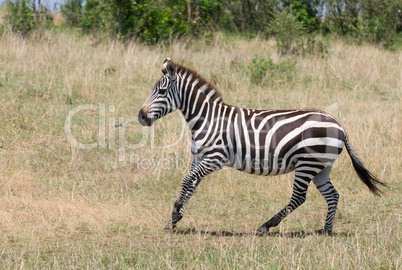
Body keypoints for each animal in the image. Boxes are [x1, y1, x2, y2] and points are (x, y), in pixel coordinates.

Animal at [138, 58, 386, 234]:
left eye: (161, 92)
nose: (140, 116)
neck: (207, 118)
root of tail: (338, 124)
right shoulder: (199, 158)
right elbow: (190, 186)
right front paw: (174, 220)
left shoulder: (214, 159)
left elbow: (186, 182)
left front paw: (174, 214)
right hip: (322, 167)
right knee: (332, 195)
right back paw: (325, 230)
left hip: (307, 164)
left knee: (299, 197)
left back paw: (266, 225)